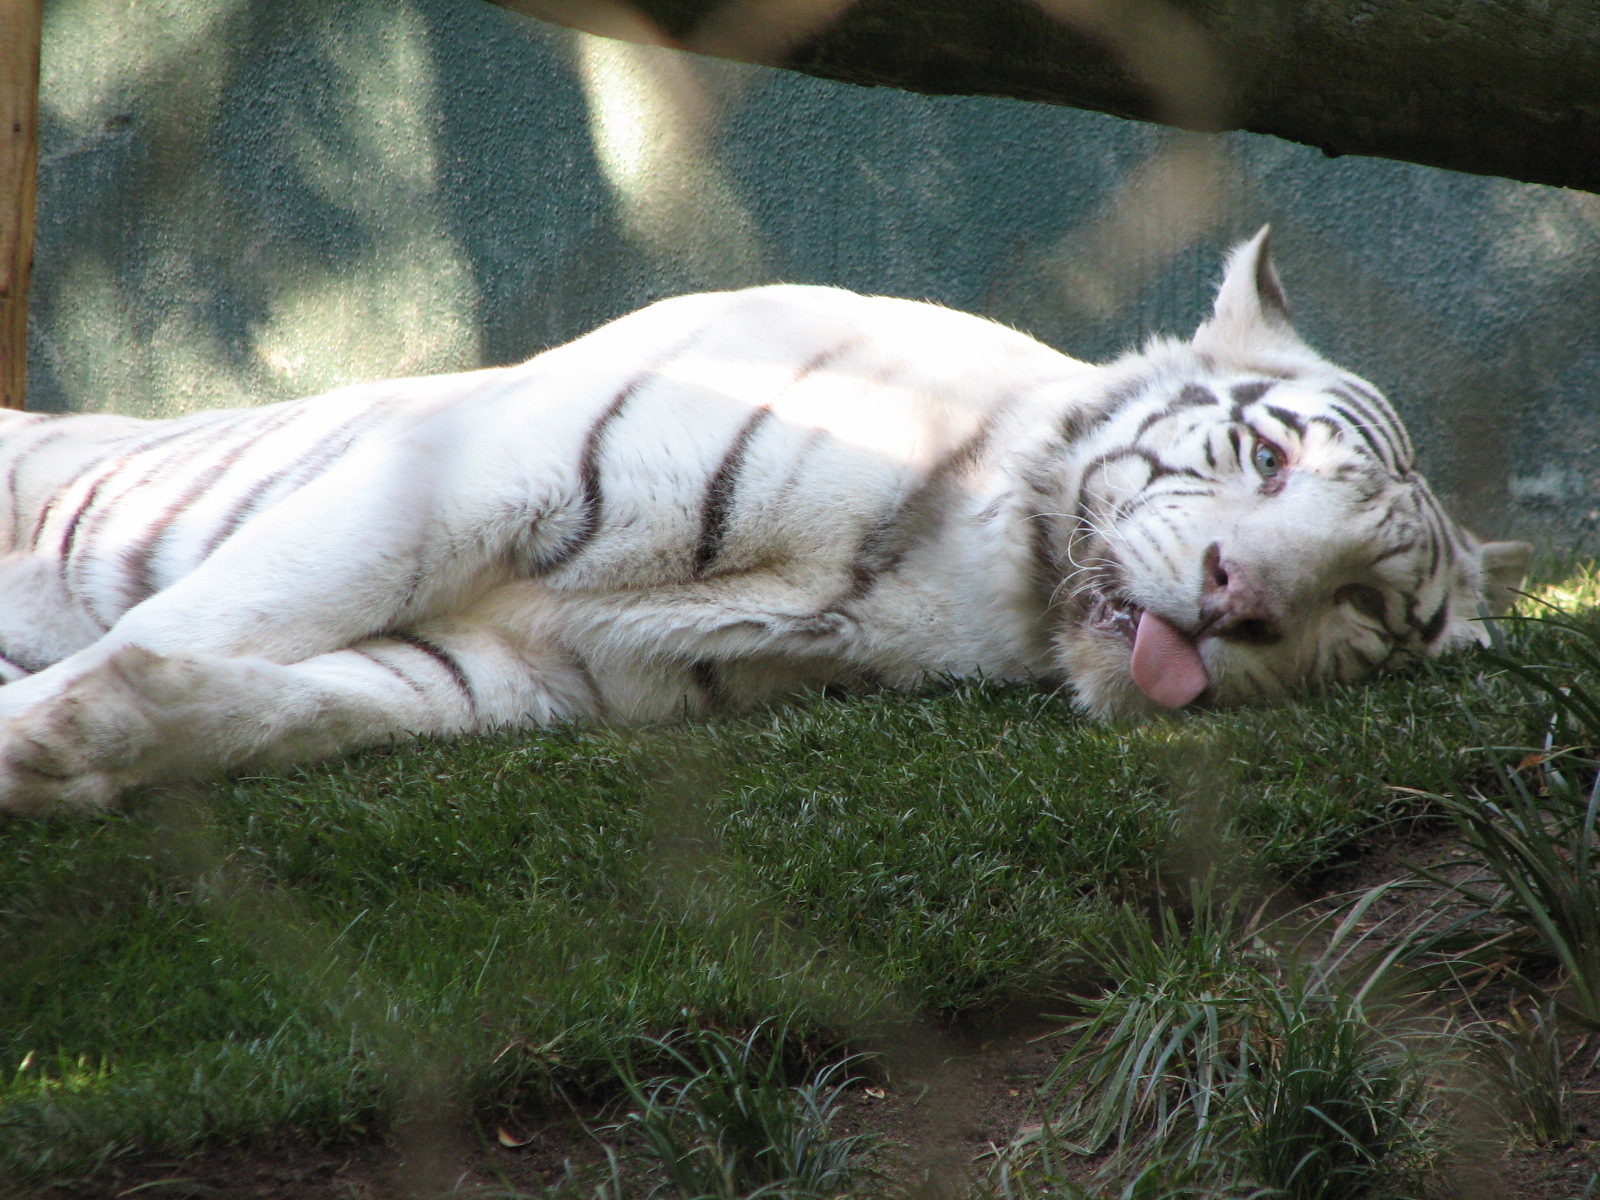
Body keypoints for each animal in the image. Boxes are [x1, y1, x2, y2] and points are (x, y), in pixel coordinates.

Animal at [0, 228, 1530, 815]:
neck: (968, 569)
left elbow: (291, 698)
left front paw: (80, 744)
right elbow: (237, 609)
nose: (1238, 601)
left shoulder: (527, 673)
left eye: (1362, 610)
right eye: (1266, 460)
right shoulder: (461, 476)